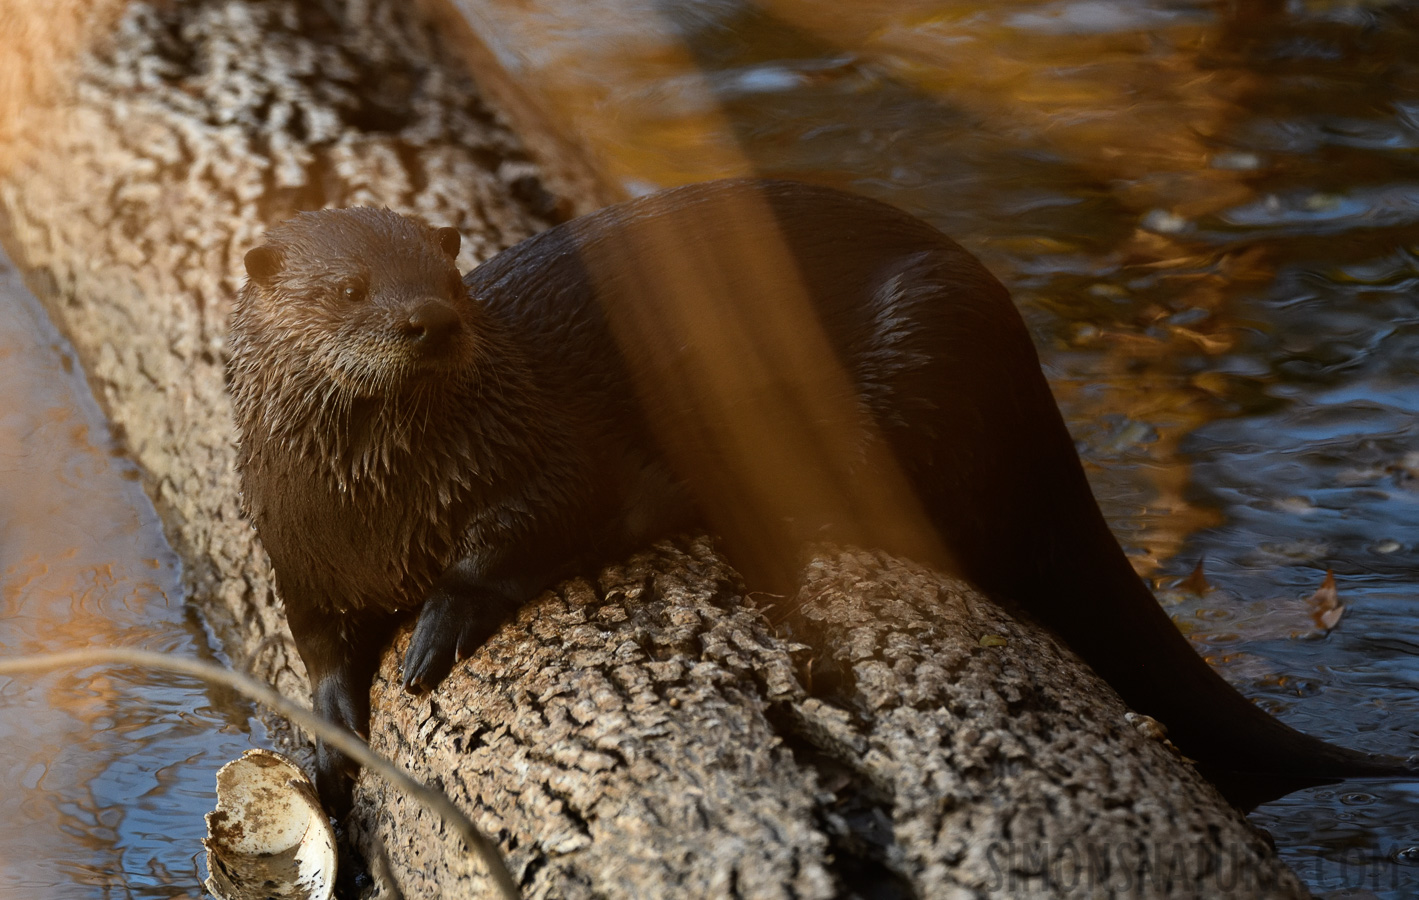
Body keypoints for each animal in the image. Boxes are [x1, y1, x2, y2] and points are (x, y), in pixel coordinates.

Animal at [227, 175, 1413, 811]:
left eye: (450, 280)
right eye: (351, 288)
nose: (428, 321)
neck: (376, 505)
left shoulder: (551, 457)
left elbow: (528, 532)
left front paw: (440, 624)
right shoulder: (293, 546)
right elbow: (316, 645)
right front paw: (327, 726)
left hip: (923, 351)